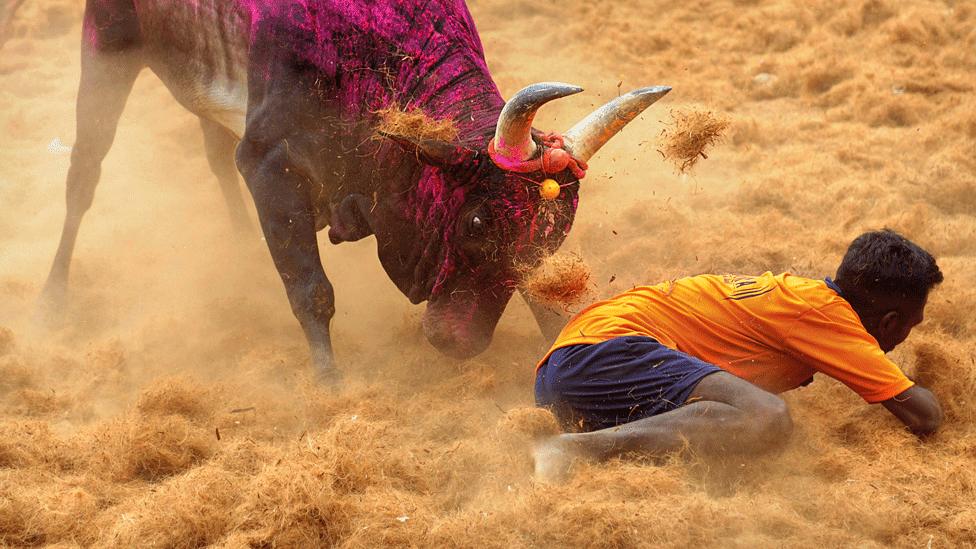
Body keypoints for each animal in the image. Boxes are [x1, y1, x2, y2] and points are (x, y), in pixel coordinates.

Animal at [45, 0, 672, 378]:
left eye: (554, 235)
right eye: (474, 222)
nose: (461, 343)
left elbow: (543, 293)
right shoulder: (269, 165)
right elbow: (310, 291)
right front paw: (330, 385)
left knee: (211, 152)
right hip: (105, 48)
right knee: (83, 176)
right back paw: (51, 300)